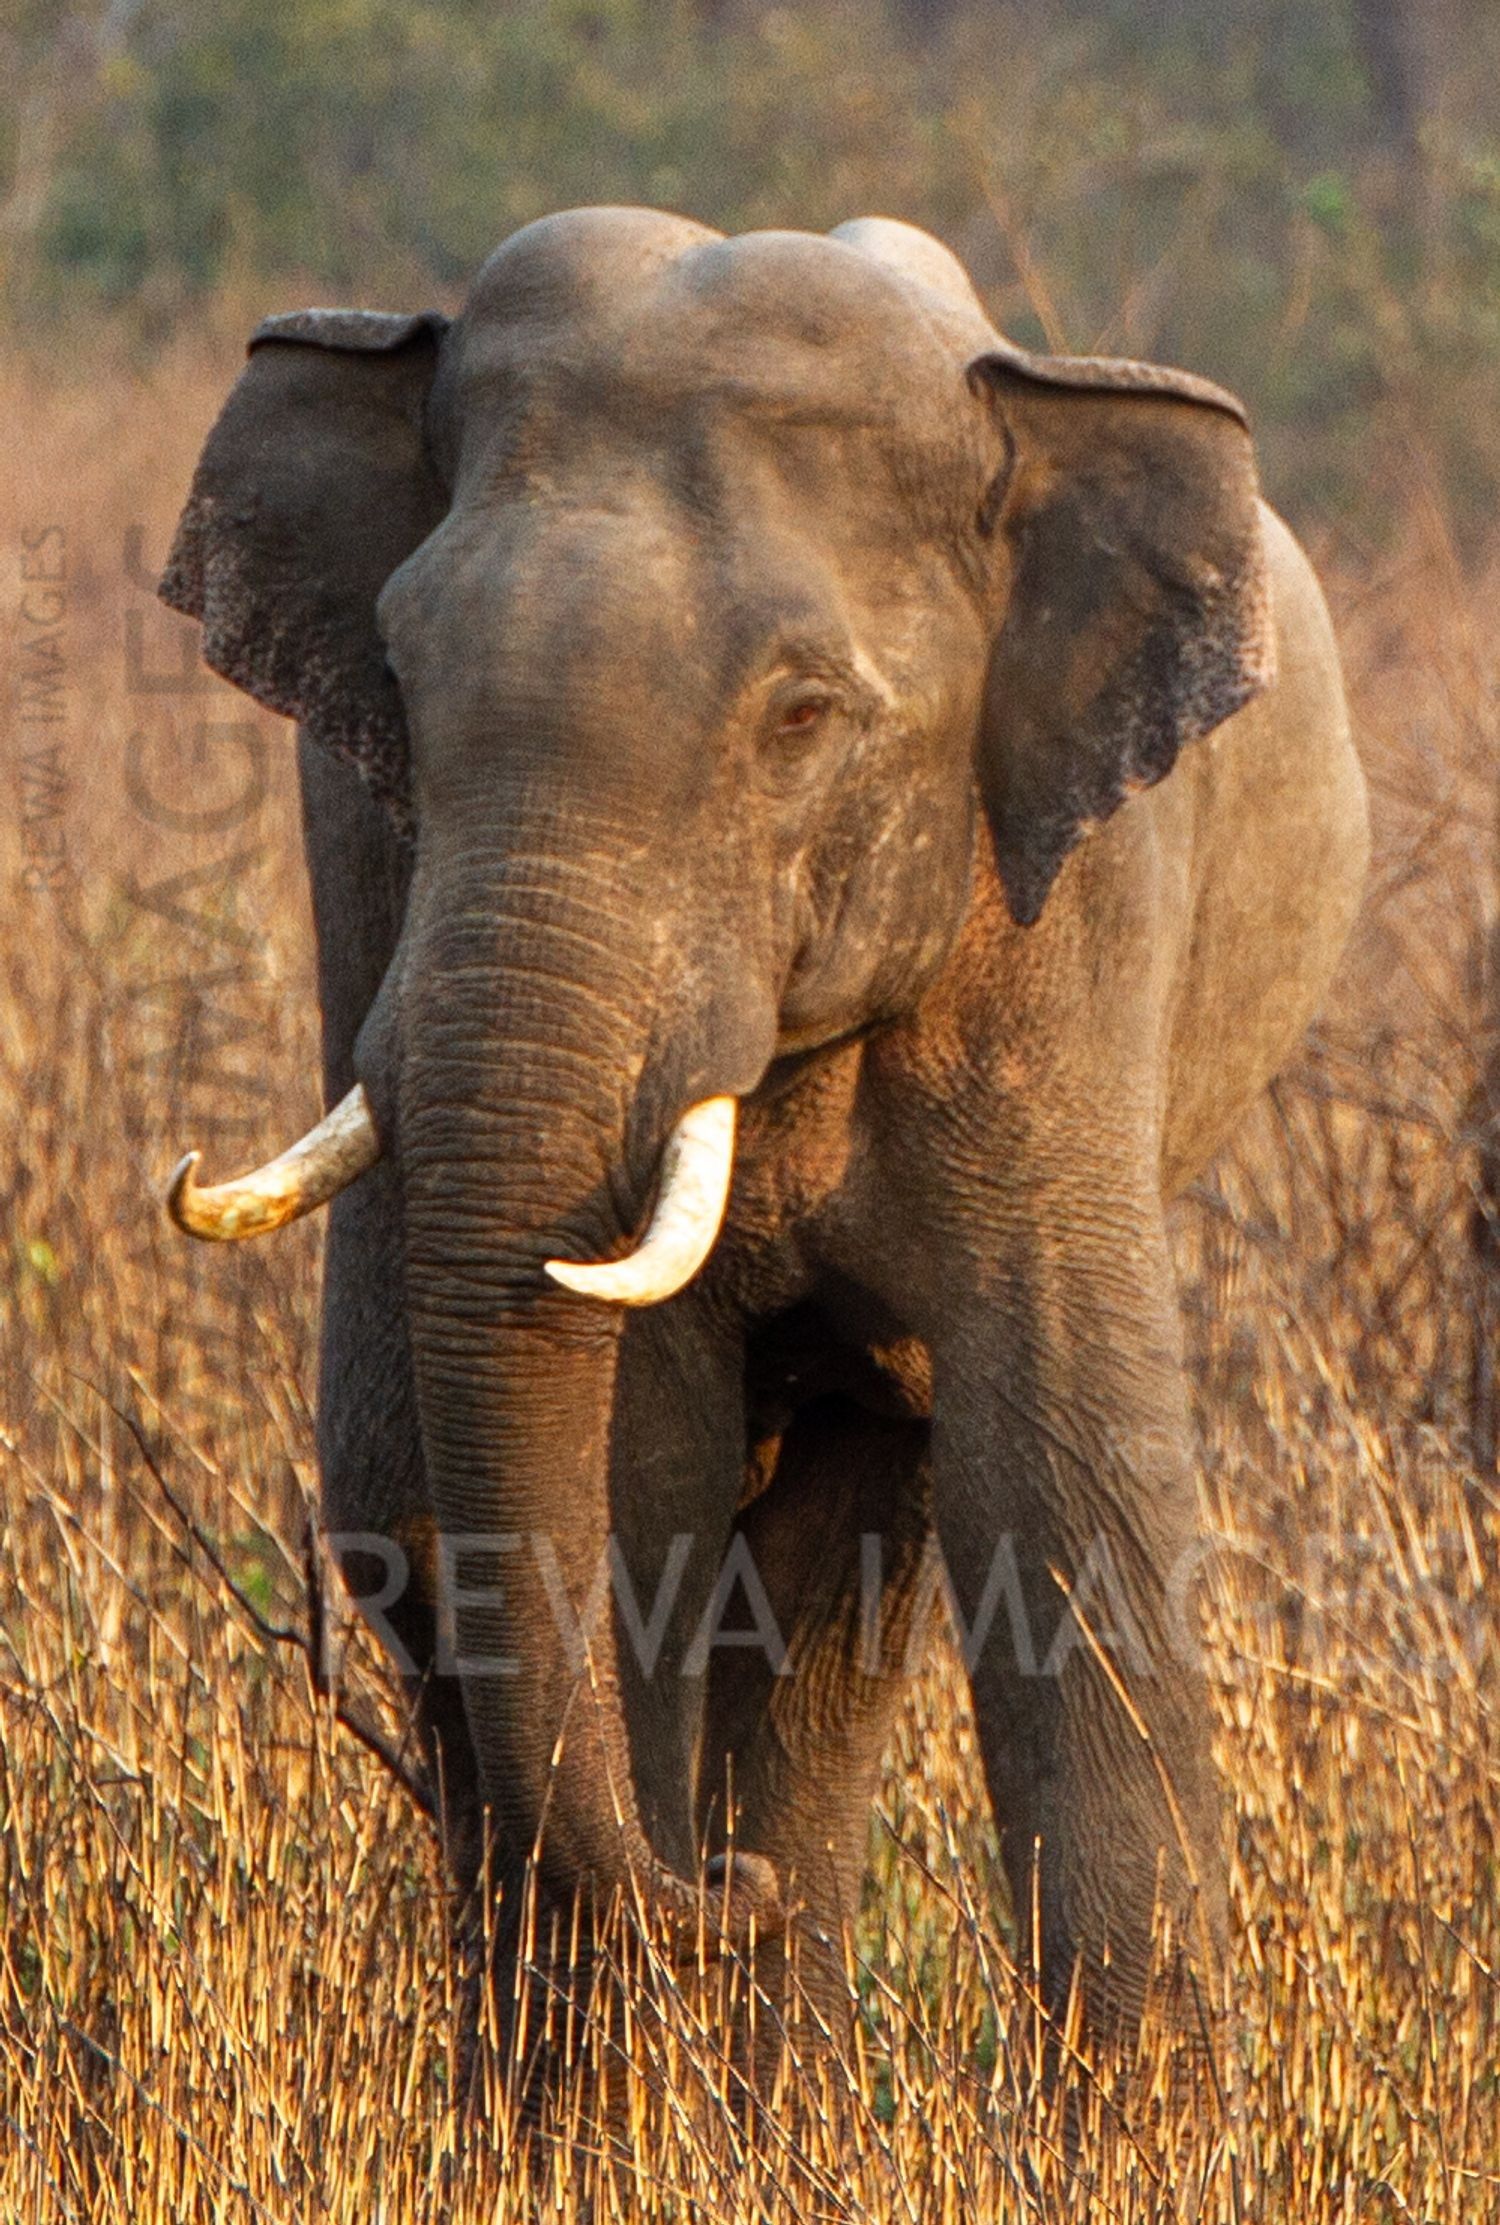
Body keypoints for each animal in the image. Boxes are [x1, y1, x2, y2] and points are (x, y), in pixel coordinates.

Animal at [158, 207, 1369, 2066]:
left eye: (802, 718)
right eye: (406, 688)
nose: (709, 1890)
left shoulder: (1076, 913)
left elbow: (1064, 1489)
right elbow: (637, 1469)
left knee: (848, 1578)